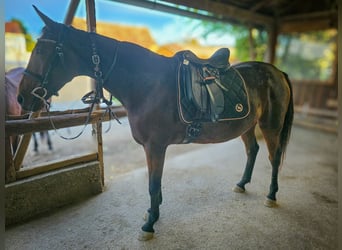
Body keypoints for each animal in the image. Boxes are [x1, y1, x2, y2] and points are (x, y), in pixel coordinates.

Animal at [17, 6, 292, 240]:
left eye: (40, 51)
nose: (21, 98)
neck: (147, 84)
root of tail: (277, 72)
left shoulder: (155, 146)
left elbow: (152, 185)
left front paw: (149, 225)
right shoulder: (152, 148)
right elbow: (154, 183)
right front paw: (152, 214)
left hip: (270, 126)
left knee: (274, 157)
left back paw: (271, 194)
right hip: (246, 125)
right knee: (253, 150)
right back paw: (242, 184)